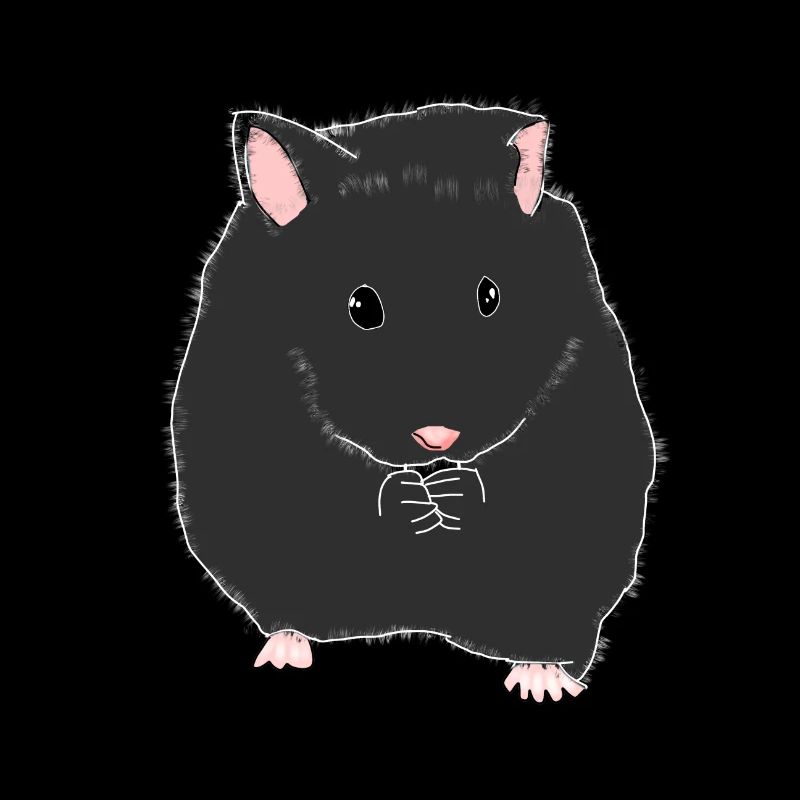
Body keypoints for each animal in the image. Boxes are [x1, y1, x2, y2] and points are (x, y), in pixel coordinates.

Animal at [171, 103, 656, 701]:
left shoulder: (585, 394)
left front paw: (451, 493)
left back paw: (538, 680)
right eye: (361, 306)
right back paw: (284, 653)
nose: (438, 440)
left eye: (490, 296)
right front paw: (411, 499)